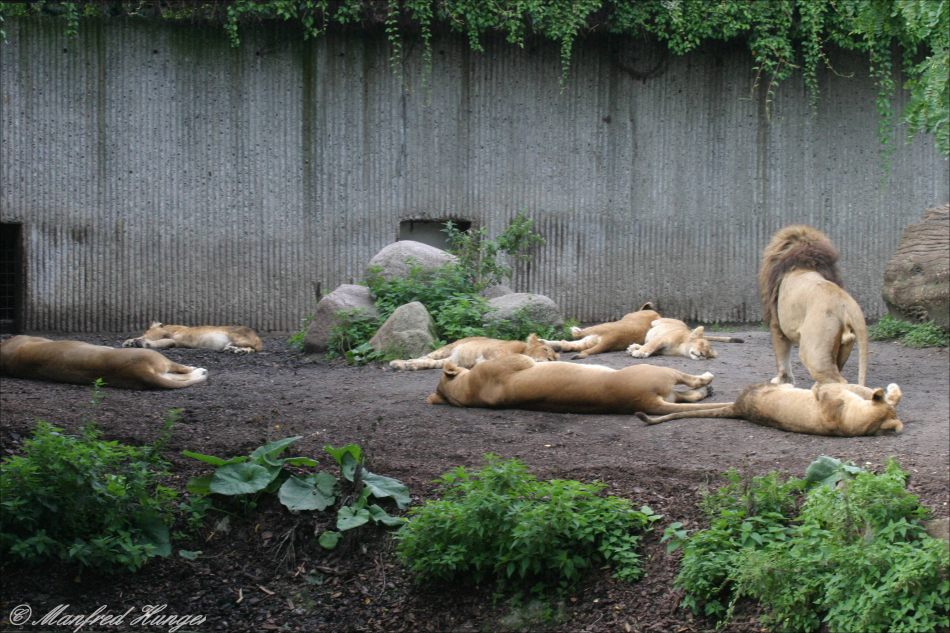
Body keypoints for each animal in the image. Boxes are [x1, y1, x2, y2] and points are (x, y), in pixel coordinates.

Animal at [760, 226, 872, 386]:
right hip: (844, 345)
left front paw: (782, 381)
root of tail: (845, 302)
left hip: (813, 350)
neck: (803, 267)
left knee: (839, 380)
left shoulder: (777, 324)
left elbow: (782, 356)